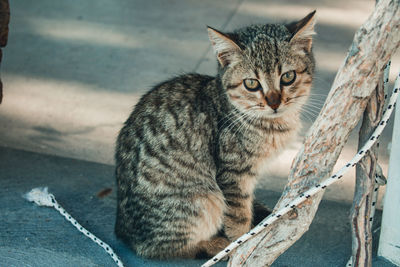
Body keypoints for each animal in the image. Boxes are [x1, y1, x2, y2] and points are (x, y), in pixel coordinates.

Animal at [115, 11, 316, 260]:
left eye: (288, 77)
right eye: (252, 83)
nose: (274, 102)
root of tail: (123, 229)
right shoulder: (233, 174)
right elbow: (238, 217)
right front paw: (240, 243)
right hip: (204, 198)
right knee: (161, 248)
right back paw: (215, 245)